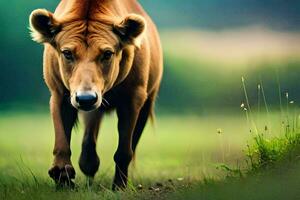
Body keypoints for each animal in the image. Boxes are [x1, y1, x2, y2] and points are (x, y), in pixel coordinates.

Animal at [29, 0, 163, 190]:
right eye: (67, 53)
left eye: (107, 53)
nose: (86, 98)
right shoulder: (59, 91)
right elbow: (62, 135)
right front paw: (62, 175)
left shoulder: (133, 95)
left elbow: (124, 148)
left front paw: (119, 185)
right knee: (90, 133)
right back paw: (88, 164)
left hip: (148, 99)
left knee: (134, 137)